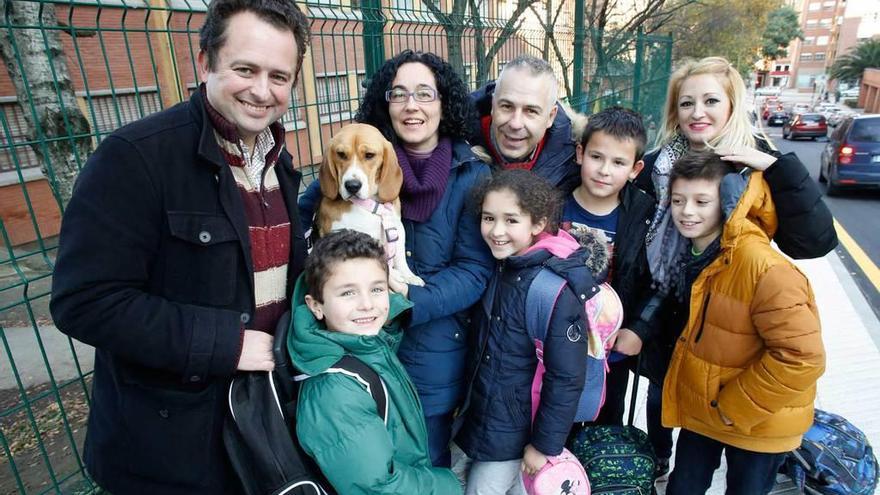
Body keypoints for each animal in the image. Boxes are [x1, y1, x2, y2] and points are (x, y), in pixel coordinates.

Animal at [316, 123, 426, 286]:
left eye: (369, 155)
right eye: (341, 154)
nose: (352, 186)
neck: (369, 205)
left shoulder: (397, 227)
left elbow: (400, 256)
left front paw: (409, 275)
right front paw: (394, 275)